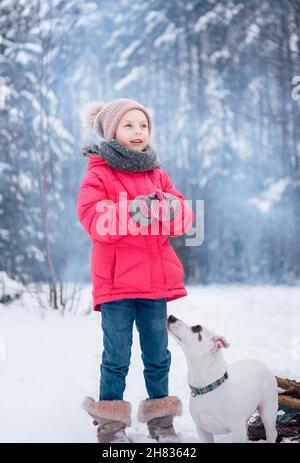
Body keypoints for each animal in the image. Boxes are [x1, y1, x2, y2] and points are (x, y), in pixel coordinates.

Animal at [168, 314, 278, 444]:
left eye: (197, 328)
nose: (171, 317)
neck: (208, 387)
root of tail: (263, 364)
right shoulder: (202, 430)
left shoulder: (237, 428)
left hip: (268, 410)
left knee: (271, 432)